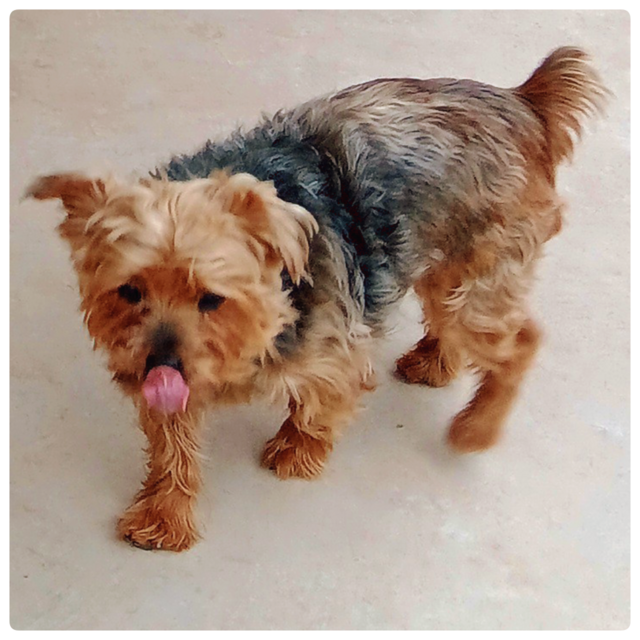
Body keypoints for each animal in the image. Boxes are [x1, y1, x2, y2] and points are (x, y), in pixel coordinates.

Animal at [27, 47, 606, 551]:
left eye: (212, 299)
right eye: (129, 291)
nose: (161, 364)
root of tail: (523, 103)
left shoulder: (334, 345)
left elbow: (324, 400)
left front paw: (296, 451)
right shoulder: (165, 369)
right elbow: (173, 446)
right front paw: (164, 515)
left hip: (479, 275)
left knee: (521, 341)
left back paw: (476, 427)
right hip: (441, 261)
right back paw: (433, 362)